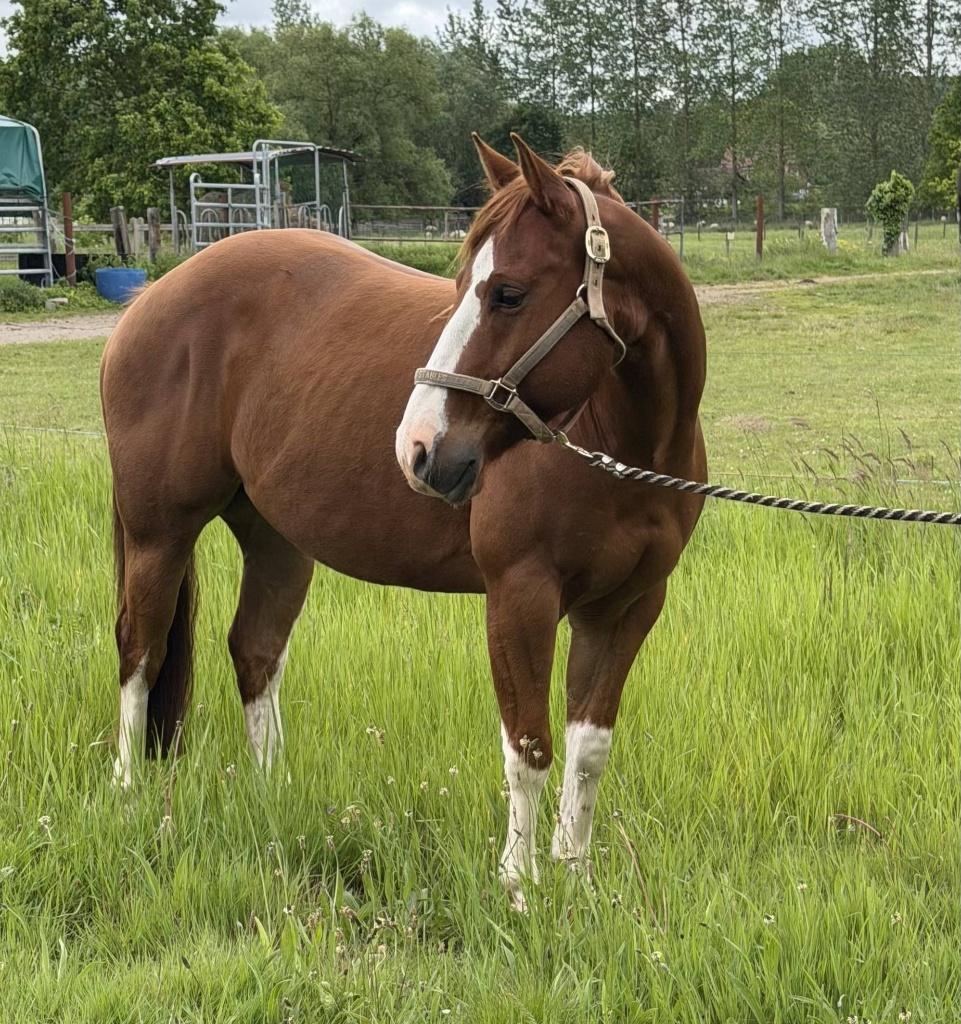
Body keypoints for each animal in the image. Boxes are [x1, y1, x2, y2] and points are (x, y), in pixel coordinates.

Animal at [100, 134, 707, 909]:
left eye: (508, 292)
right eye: (462, 284)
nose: (418, 448)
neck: (624, 446)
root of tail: (149, 299)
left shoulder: (626, 607)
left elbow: (588, 750)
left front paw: (576, 880)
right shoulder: (520, 596)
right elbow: (528, 746)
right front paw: (518, 885)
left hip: (276, 539)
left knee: (254, 650)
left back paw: (271, 796)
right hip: (160, 533)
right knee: (140, 651)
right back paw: (127, 793)